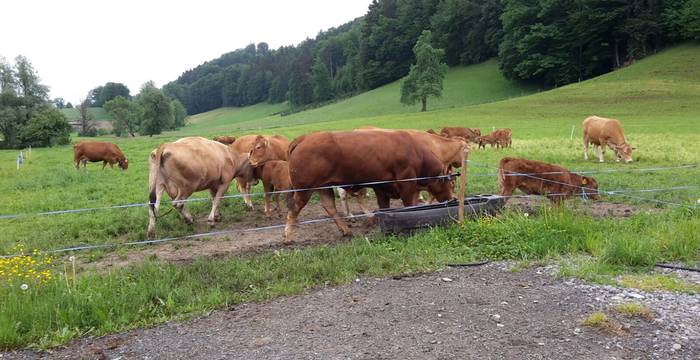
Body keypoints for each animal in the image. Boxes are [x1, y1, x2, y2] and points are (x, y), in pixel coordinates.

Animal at [286, 129, 460, 242]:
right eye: (451, 183)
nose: (452, 199)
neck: (416, 153)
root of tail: (304, 138)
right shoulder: (407, 185)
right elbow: (409, 206)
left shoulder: (382, 188)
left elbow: (385, 208)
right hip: (304, 189)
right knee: (294, 207)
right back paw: (287, 236)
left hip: (324, 187)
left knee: (329, 206)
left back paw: (346, 230)